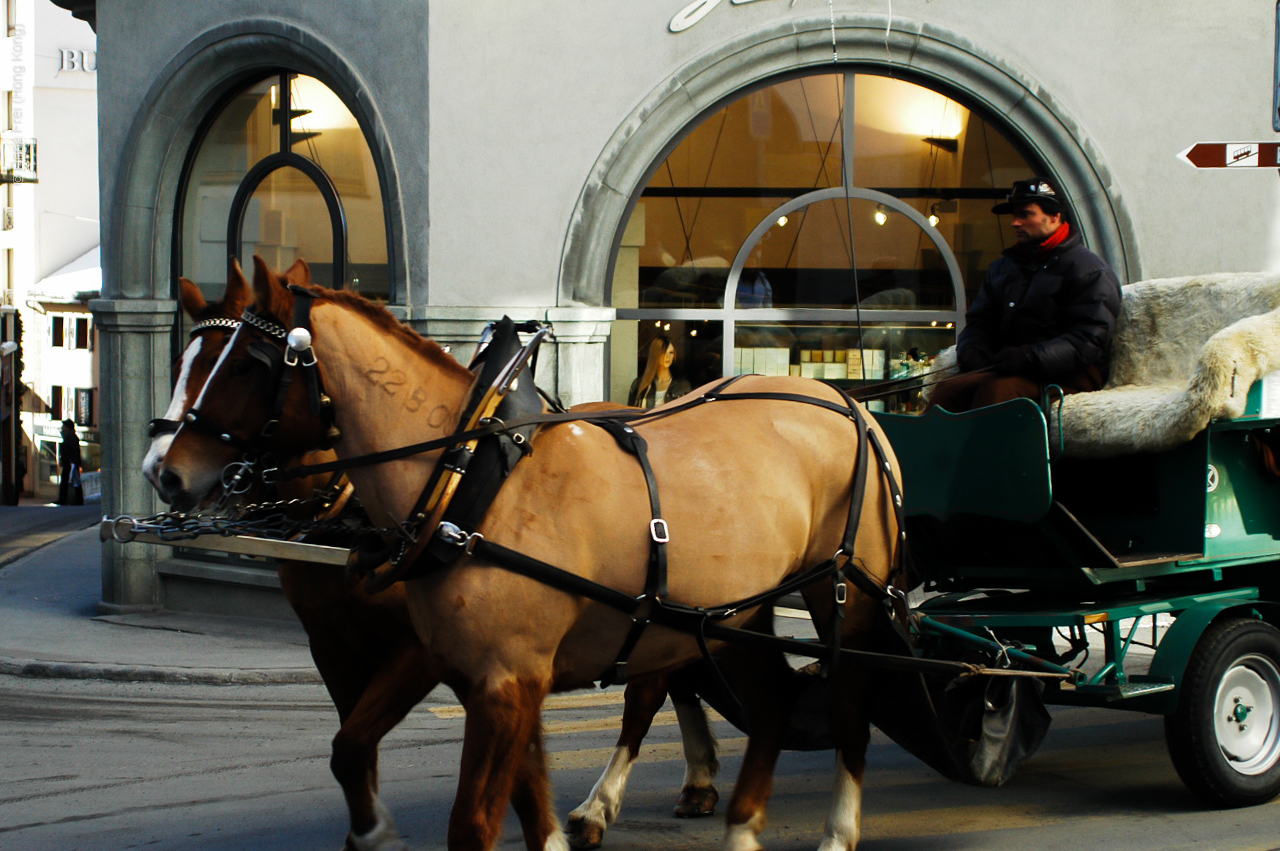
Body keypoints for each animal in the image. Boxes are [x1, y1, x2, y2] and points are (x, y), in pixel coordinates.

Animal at [145, 266, 901, 849]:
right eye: (186, 359)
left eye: (247, 364)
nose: (163, 470)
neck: (465, 481)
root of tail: (844, 400)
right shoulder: (476, 673)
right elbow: (500, 791)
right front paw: (373, 828)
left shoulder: (501, 681)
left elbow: (472, 822)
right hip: (733, 613)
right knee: (767, 703)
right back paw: (736, 823)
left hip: (849, 596)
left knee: (848, 703)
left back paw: (836, 829)